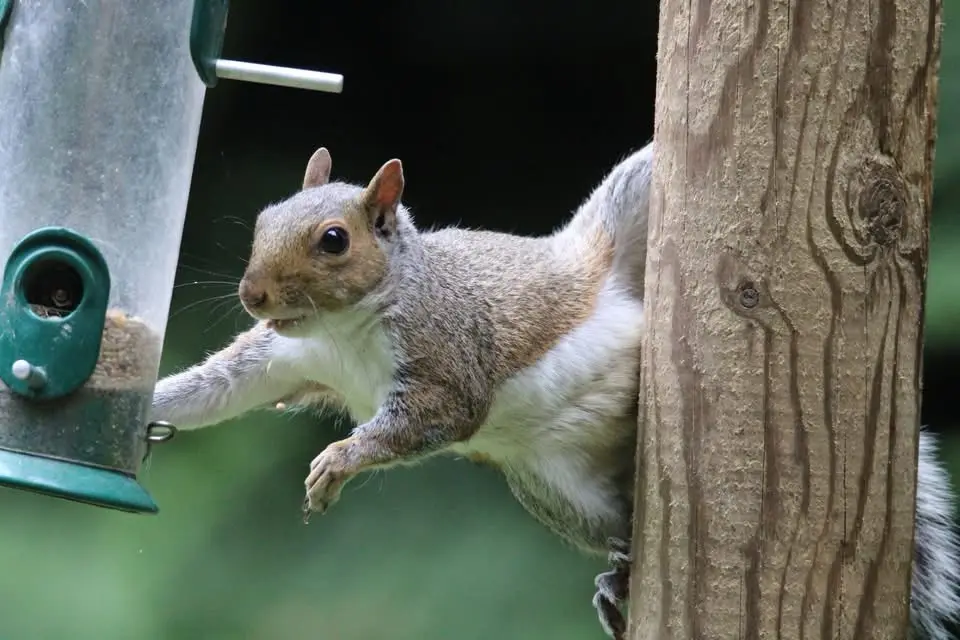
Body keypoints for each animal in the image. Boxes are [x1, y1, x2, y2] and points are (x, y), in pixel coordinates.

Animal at [151, 144, 960, 640]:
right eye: (263, 219)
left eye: (333, 240)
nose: (253, 294)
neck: (347, 330)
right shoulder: (290, 357)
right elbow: (219, 388)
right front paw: (147, 404)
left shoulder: (450, 354)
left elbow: (433, 419)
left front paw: (339, 462)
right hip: (559, 490)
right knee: (621, 526)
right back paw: (620, 578)